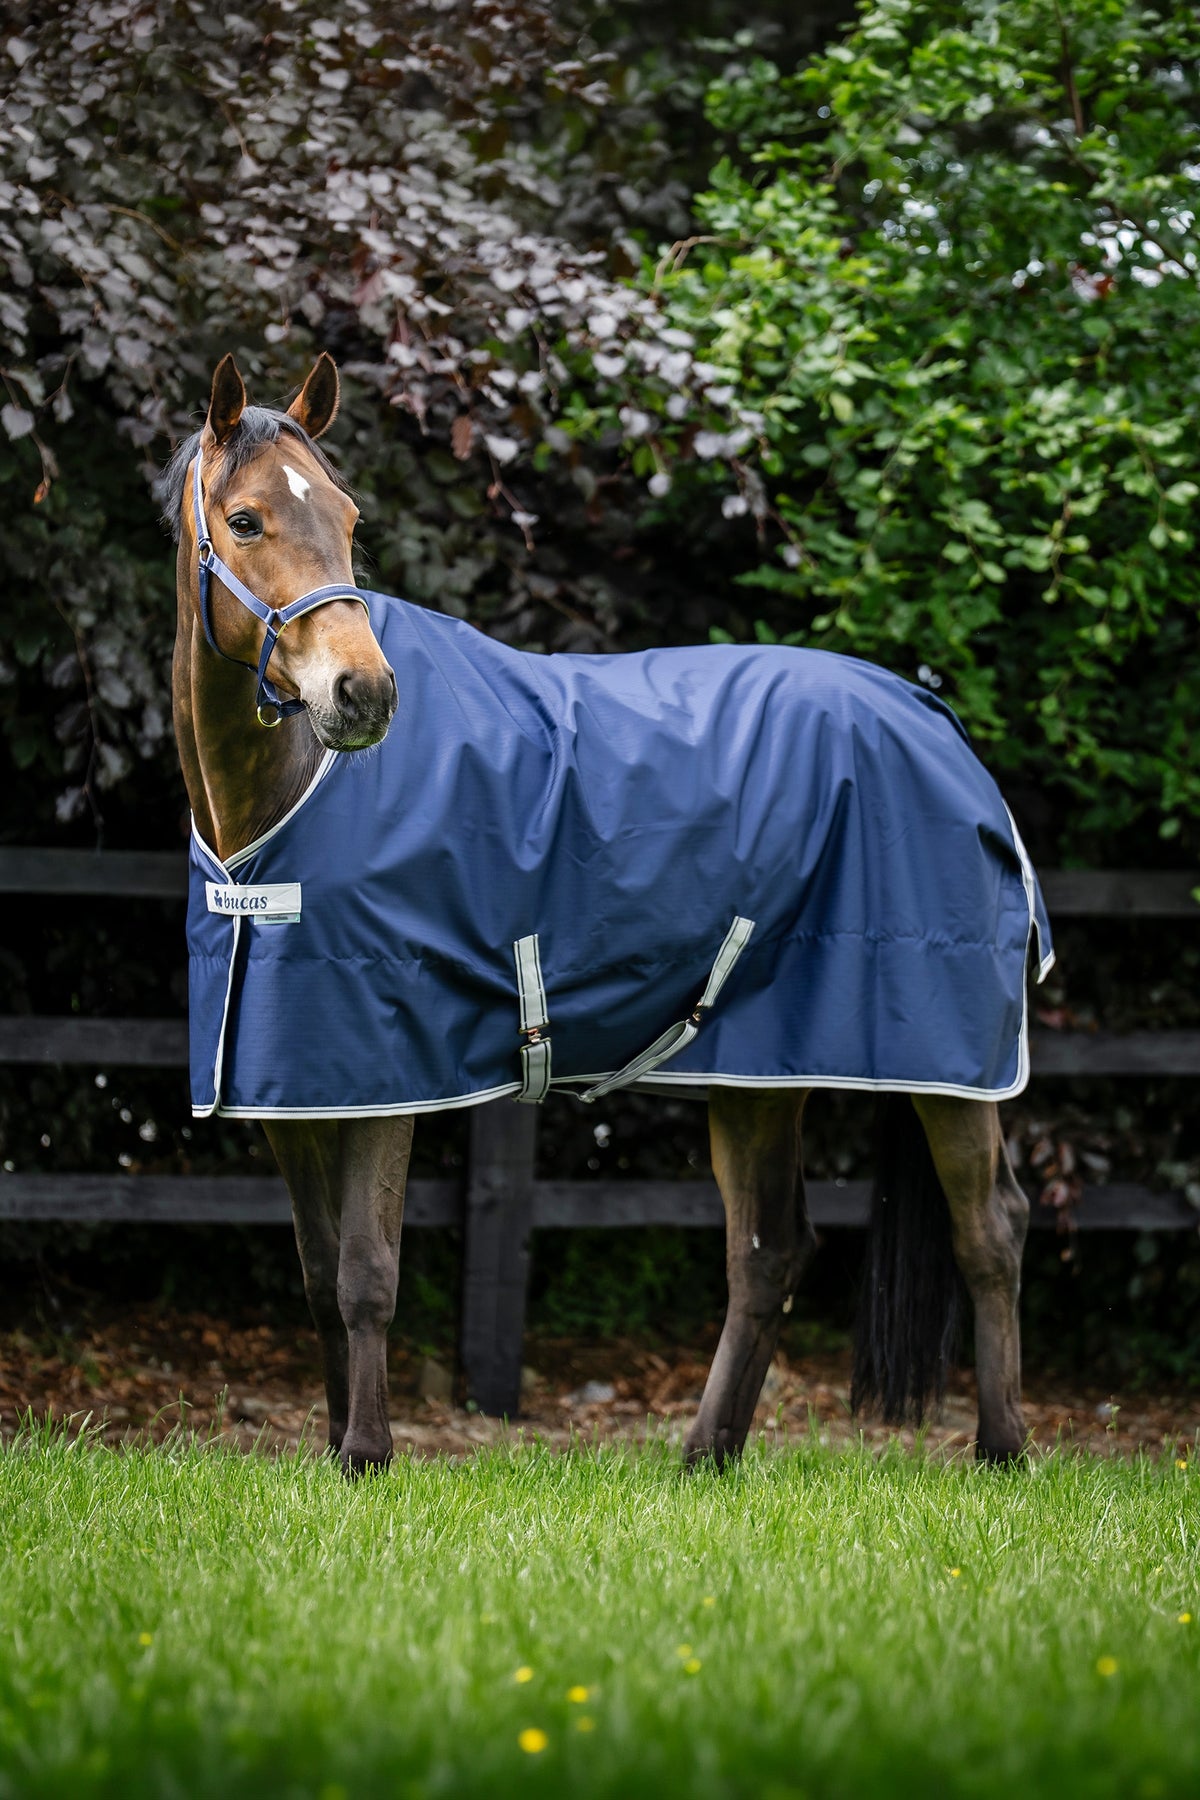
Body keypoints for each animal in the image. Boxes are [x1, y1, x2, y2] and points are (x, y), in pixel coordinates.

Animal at [165, 351, 1047, 1475]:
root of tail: (940, 726)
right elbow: (321, 1277)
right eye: (244, 521)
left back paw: (1002, 1449)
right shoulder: (292, 1087)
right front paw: (333, 1452)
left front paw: (366, 1455)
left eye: (351, 517)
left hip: (950, 1068)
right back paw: (707, 1456)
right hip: (758, 1071)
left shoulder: (388, 1071)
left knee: (991, 1231)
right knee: (771, 1251)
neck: (284, 800)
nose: (363, 694)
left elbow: (366, 1273)